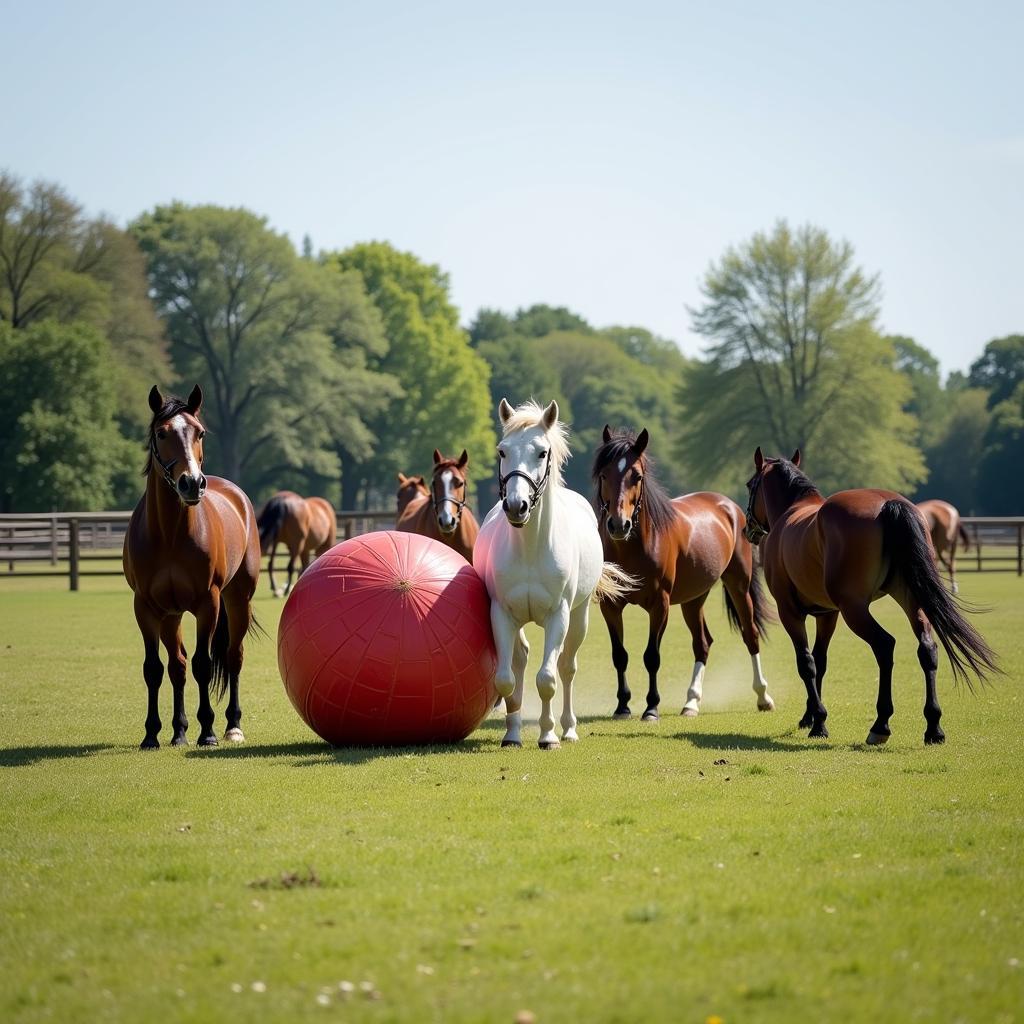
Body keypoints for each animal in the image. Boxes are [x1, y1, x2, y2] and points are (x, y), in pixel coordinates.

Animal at [122, 382, 262, 745]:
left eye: (200, 432)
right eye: (161, 433)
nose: (192, 483)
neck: (170, 534)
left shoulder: (207, 603)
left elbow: (203, 663)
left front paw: (208, 731)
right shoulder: (146, 606)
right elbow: (155, 668)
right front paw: (152, 734)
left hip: (238, 599)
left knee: (233, 657)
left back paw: (232, 726)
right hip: (171, 614)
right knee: (177, 664)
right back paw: (179, 731)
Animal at [475, 395, 634, 749]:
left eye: (542, 452)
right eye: (502, 451)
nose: (516, 506)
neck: (531, 550)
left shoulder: (557, 617)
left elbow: (547, 679)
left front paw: (548, 736)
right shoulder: (501, 615)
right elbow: (506, 679)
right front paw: (511, 735)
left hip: (578, 618)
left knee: (566, 667)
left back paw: (568, 729)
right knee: (521, 660)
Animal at [589, 428, 770, 724]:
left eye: (637, 476)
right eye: (604, 475)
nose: (618, 524)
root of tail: (729, 507)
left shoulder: (660, 605)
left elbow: (652, 656)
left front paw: (651, 709)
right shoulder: (611, 606)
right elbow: (620, 655)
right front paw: (623, 706)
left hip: (738, 586)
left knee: (750, 635)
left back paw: (763, 697)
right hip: (693, 599)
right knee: (702, 644)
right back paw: (691, 703)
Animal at [741, 448, 995, 745]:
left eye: (750, 485)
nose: (748, 529)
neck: (791, 513)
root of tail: (888, 504)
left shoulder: (790, 612)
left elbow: (807, 663)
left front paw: (818, 722)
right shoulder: (828, 614)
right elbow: (820, 661)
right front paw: (810, 717)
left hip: (855, 609)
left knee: (884, 646)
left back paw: (881, 724)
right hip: (910, 598)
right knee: (927, 649)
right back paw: (933, 726)